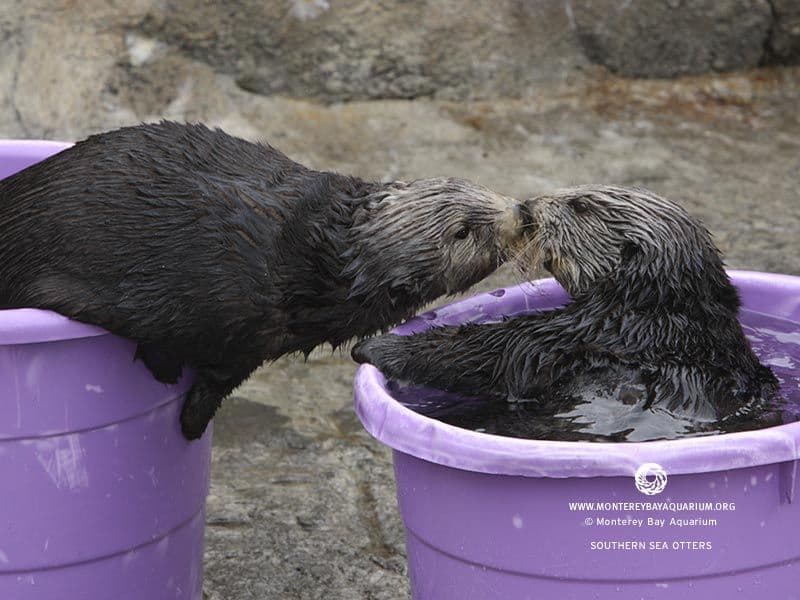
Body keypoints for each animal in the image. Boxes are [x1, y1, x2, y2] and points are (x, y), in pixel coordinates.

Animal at [0, 121, 524, 440]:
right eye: (463, 232)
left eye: (478, 188)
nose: (519, 213)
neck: (308, 252)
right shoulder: (219, 309)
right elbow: (172, 351)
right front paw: (185, 414)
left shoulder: (254, 340)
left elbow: (221, 376)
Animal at [352, 185, 780, 427]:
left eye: (580, 206)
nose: (527, 207)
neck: (658, 304)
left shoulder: (592, 328)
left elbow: (491, 353)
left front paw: (376, 346)